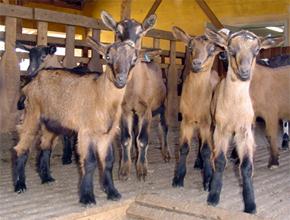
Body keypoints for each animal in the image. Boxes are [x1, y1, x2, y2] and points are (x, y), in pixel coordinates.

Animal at [13, 37, 154, 205]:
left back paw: (46, 178)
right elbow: (90, 162)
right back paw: (20, 185)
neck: (101, 95)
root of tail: (33, 80)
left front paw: (112, 192)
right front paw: (87, 197)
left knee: (46, 146)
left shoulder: (106, 134)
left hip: (52, 122)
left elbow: (108, 162)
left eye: (134, 60)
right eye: (108, 57)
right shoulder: (85, 132)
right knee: (22, 146)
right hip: (32, 113)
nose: (121, 79)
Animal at [101, 10, 171, 180]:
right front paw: (124, 170)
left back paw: (166, 154)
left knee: (163, 127)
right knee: (134, 131)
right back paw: (134, 155)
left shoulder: (146, 110)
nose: (128, 50)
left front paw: (142, 170)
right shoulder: (125, 110)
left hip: (163, 104)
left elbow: (143, 139)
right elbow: (127, 138)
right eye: (118, 32)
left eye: (140, 33)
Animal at [171, 26, 221, 191]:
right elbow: (184, 148)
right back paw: (198, 163)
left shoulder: (207, 122)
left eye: (212, 49)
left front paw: (208, 180)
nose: (197, 64)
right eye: (190, 47)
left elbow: (206, 150)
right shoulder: (185, 120)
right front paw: (178, 179)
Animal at [205, 28, 282, 213]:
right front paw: (213, 196)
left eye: (257, 50)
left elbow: (247, 166)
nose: (245, 72)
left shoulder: (245, 130)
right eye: (231, 50)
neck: (234, 107)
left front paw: (250, 205)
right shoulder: (221, 128)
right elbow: (219, 160)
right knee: (212, 154)